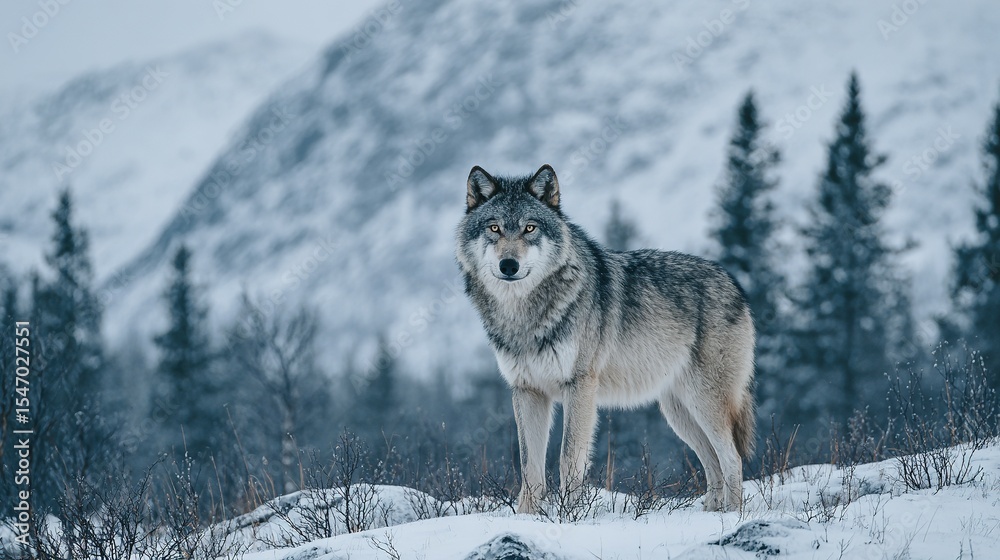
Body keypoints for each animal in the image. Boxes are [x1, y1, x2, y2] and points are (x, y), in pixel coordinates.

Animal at [455, 164, 756, 513]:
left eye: (530, 228)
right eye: (495, 228)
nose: (509, 265)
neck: (525, 316)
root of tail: (734, 283)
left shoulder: (580, 385)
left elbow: (568, 458)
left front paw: (568, 516)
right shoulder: (527, 390)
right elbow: (530, 466)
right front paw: (527, 516)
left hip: (704, 402)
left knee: (732, 457)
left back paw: (732, 514)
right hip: (678, 412)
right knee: (713, 462)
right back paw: (711, 512)